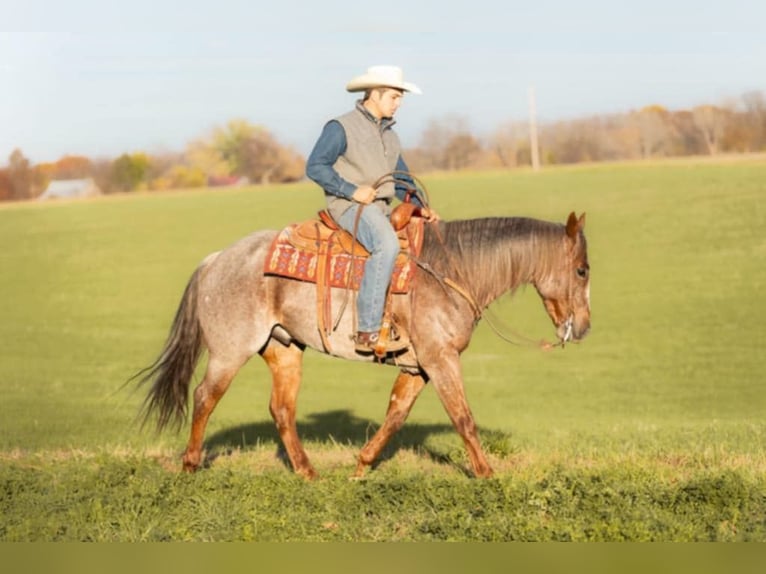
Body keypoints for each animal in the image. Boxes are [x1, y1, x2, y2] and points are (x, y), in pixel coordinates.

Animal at [136, 209, 592, 480]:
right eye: (582, 270)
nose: (585, 327)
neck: (452, 270)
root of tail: (215, 260)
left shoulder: (416, 367)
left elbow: (395, 416)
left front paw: (361, 466)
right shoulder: (440, 360)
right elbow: (463, 418)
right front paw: (487, 476)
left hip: (284, 349)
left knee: (281, 409)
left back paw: (308, 474)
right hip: (230, 352)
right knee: (204, 396)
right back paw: (190, 465)